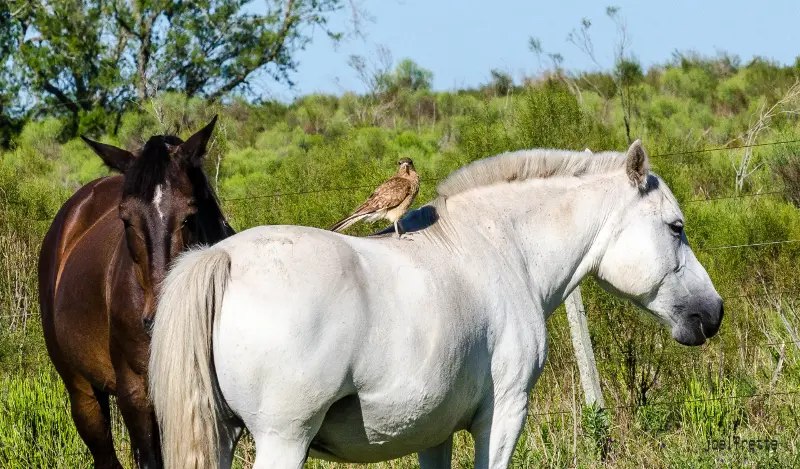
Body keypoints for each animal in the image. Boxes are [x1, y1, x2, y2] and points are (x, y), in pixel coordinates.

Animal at [149, 140, 724, 469]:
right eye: (676, 227)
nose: (712, 313)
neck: (500, 245)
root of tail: (221, 258)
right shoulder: (503, 415)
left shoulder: (432, 431)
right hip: (283, 441)